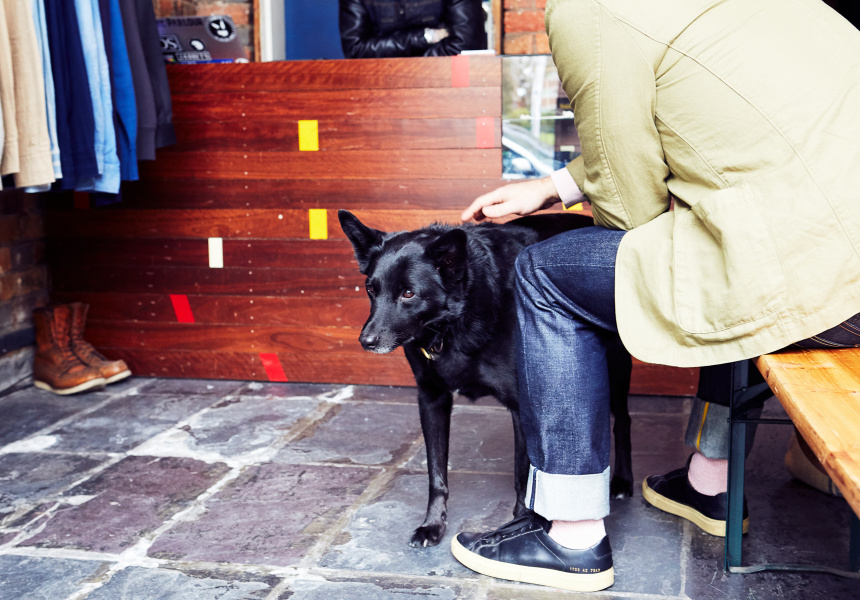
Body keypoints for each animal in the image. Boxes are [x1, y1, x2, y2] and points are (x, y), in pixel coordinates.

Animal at [338, 209, 634, 548]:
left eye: (409, 293)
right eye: (370, 289)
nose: (366, 341)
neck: (453, 324)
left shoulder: (522, 406)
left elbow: (523, 476)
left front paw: (522, 524)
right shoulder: (431, 398)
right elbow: (436, 473)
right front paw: (432, 524)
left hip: (615, 367)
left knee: (623, 421)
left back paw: (622, 481)